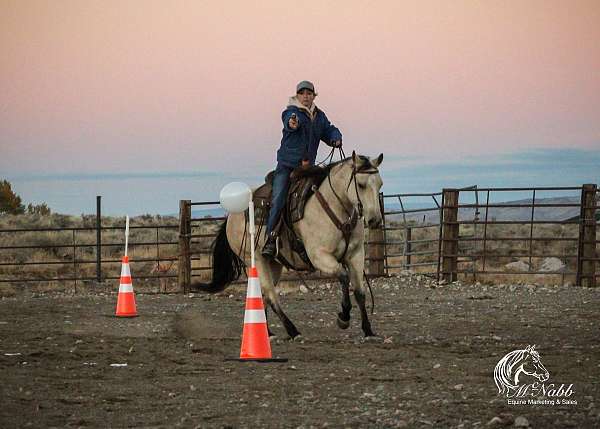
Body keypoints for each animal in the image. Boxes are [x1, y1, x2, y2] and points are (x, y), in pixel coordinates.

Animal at [192, 152, 384, 340]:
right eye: (361, 185)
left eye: (380, 184)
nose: (375, 220)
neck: (333, 208)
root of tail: (232, 216)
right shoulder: (319, 256)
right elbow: (343, 277)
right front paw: (343, 317)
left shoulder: (356, 255)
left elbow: (360, 292)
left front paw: (368, 330)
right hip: (255, 260)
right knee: (271, 296)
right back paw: (293, 331)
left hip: (273, 264)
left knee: (263, 295)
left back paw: (266, 332)